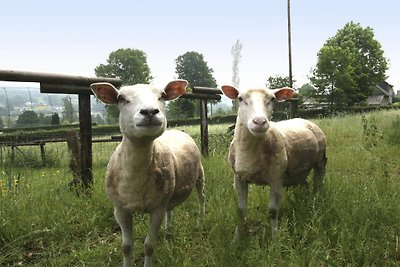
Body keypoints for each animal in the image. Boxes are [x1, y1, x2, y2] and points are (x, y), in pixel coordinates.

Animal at [91, 80, 206, 266]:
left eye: (162, 96)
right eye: (121, 98)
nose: (150, 111)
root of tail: (176, 130)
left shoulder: (157, 209)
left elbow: (149, 246)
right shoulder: (120, 210)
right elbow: (126, 247)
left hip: (200, 175)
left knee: (202, 198)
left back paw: (200, 222)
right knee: (170, 208)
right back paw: (169, 230)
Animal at [220, 85, 326, 240]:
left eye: (273, 99)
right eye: (240, 98)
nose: (259, 122)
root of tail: (305, 120)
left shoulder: (276, 178)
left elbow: (273, 211)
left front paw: (275, 239)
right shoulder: (238, 178)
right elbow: (240, 210)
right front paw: (237, 239)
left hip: (321, 160)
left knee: (318, 182)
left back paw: (317, 201)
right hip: (299, 171)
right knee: (305, 183)